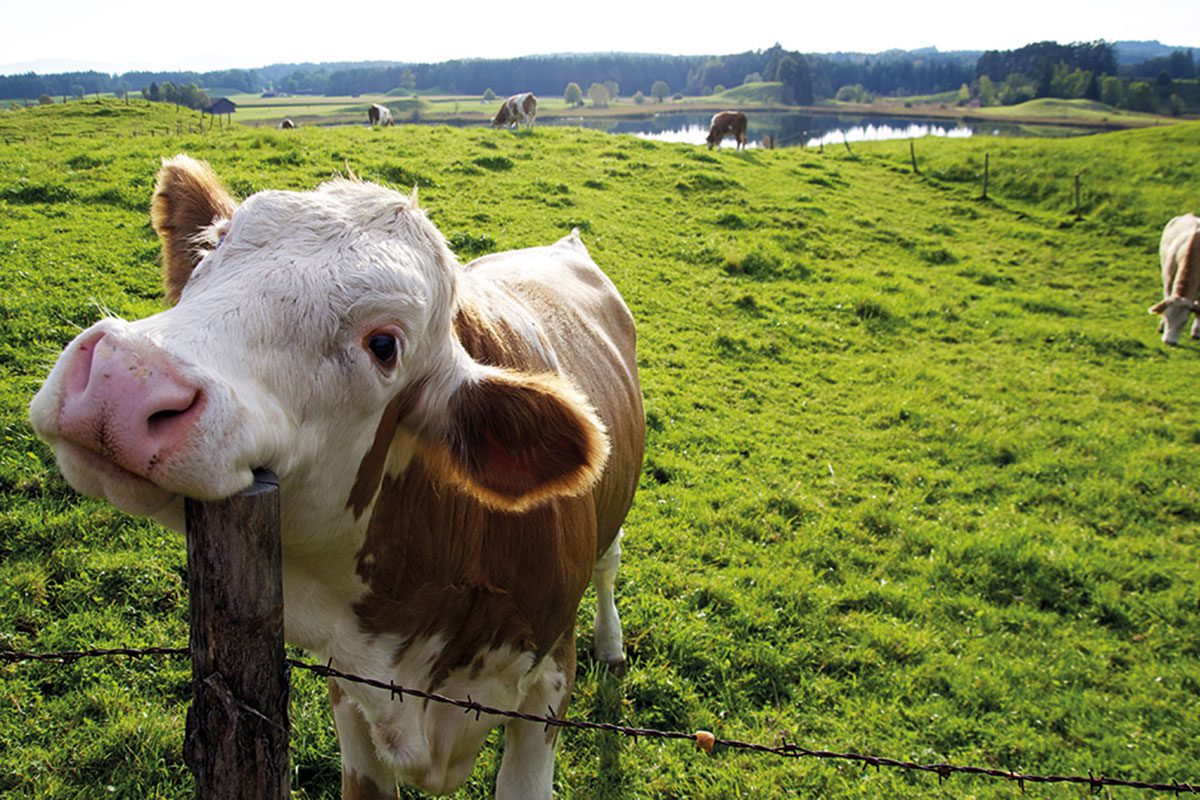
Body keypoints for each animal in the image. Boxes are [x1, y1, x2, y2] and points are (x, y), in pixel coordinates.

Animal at [1142, 214, 1200, 345]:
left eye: (1184, 321)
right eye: (1166, 315)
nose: (1169, 342)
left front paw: (1196, 332)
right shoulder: (1168, 274)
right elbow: (1167, 295)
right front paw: (1162, 326)